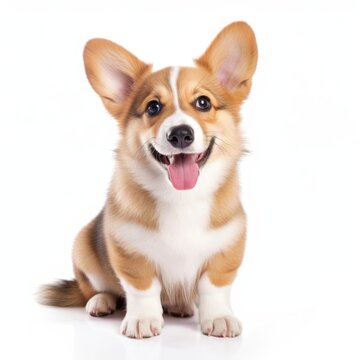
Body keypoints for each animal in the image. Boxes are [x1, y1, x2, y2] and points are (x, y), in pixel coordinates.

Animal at [39, 21, 258, 338]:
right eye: (153, 107)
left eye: (203, 103)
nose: (180, 134)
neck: (182, 198)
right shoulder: (130, 253)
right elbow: (143, 289)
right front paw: (142, 319)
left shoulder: (225, 249)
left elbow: (213, 287)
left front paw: (219, 318)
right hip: (83, 248)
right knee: (98, 289)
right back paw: (101, 302)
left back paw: (180, 307)